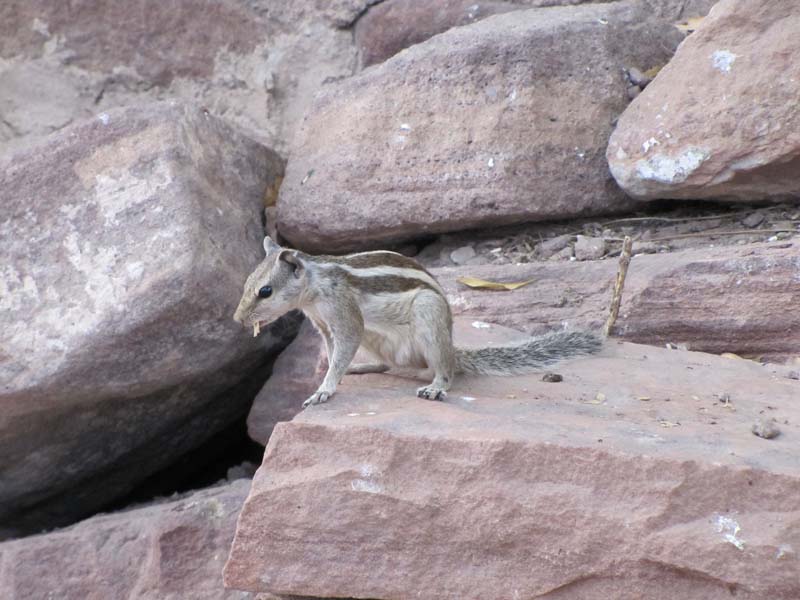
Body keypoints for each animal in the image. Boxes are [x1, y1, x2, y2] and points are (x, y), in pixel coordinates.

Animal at [231, 236, 600, 408]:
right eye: (248, 282)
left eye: (265, 291)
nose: (238, 319)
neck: (314, 286)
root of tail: (454, 348)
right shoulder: (323, 324)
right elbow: (334, 351)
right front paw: (331, 377)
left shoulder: (345, 315)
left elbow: (343, 346)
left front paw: (324, 389)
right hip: (381, 342)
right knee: (389, 365)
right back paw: (362, 367)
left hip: (428, 318)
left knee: (445, 370)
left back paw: (436, 386)